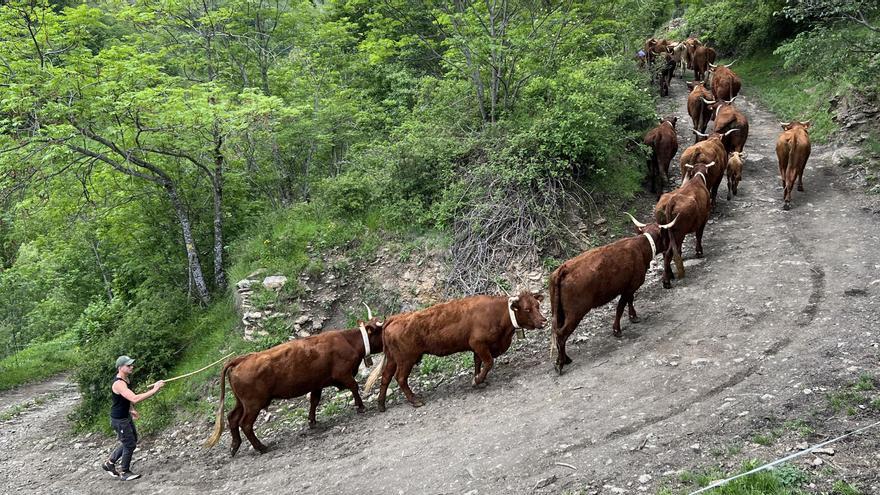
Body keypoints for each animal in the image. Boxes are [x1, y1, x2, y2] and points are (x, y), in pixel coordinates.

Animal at [208, 304, 386, 456]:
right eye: (381, 330)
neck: (348, 341)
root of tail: (241, 359)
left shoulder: (317, 383)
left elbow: (314, 401)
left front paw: (312, 421)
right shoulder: (343, 374)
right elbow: (354, 387)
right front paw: (360, 407)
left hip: (242, 402)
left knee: (232, 418)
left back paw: (234, 446)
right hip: (253, 403)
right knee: (245, 424)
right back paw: (261, 447)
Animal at [362, 290, 544, 410]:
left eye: (537, 305)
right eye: (527, 309)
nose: (544, 321)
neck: (498, 313)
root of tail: (395, 318)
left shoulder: (476, 347)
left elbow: (478, 363)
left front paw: (478, 380)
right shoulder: (479, 343)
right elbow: (488, 362)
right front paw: (477, 380)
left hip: (393, 358)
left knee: (386, 378)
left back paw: (381, 404)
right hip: (406, 359)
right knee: (400, 378)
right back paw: (415, 401)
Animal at [552, 212, 680, 372]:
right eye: (665, 235)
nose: (669, 246)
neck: (641, 247)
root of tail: (564, 269)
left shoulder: (629, 286)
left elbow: (630, 301)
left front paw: (633, 317)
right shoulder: (629, 287)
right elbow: (621, 306)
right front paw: (617, 330)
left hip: (559, 313)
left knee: (557, 334)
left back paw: (564, 359)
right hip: (575, 313)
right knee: (561, 334)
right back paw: (561, 363)